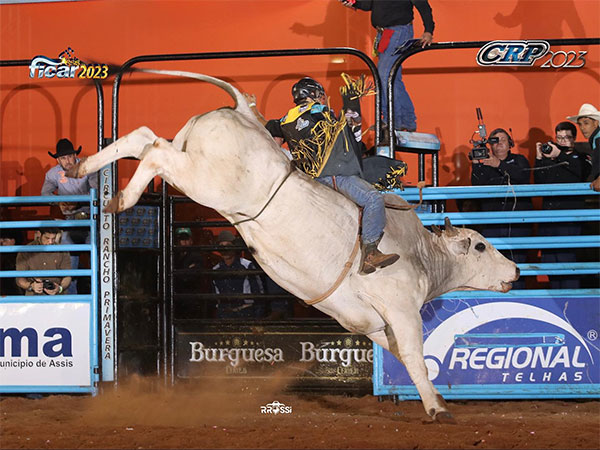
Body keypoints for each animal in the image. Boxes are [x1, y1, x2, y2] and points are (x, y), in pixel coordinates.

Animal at [71, 69, 520, 422]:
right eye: (481, 246)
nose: (516, 270)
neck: (422, 253)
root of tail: (241, 112)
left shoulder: (373, 323)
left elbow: (401, 354)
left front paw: (436, 399)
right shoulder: (402, 309)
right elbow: (413, 355)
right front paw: (438, 409)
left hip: (190, 165)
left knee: (144, 139)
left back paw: (86, 169)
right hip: (203, 179)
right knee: (156, 153)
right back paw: (120, 198)